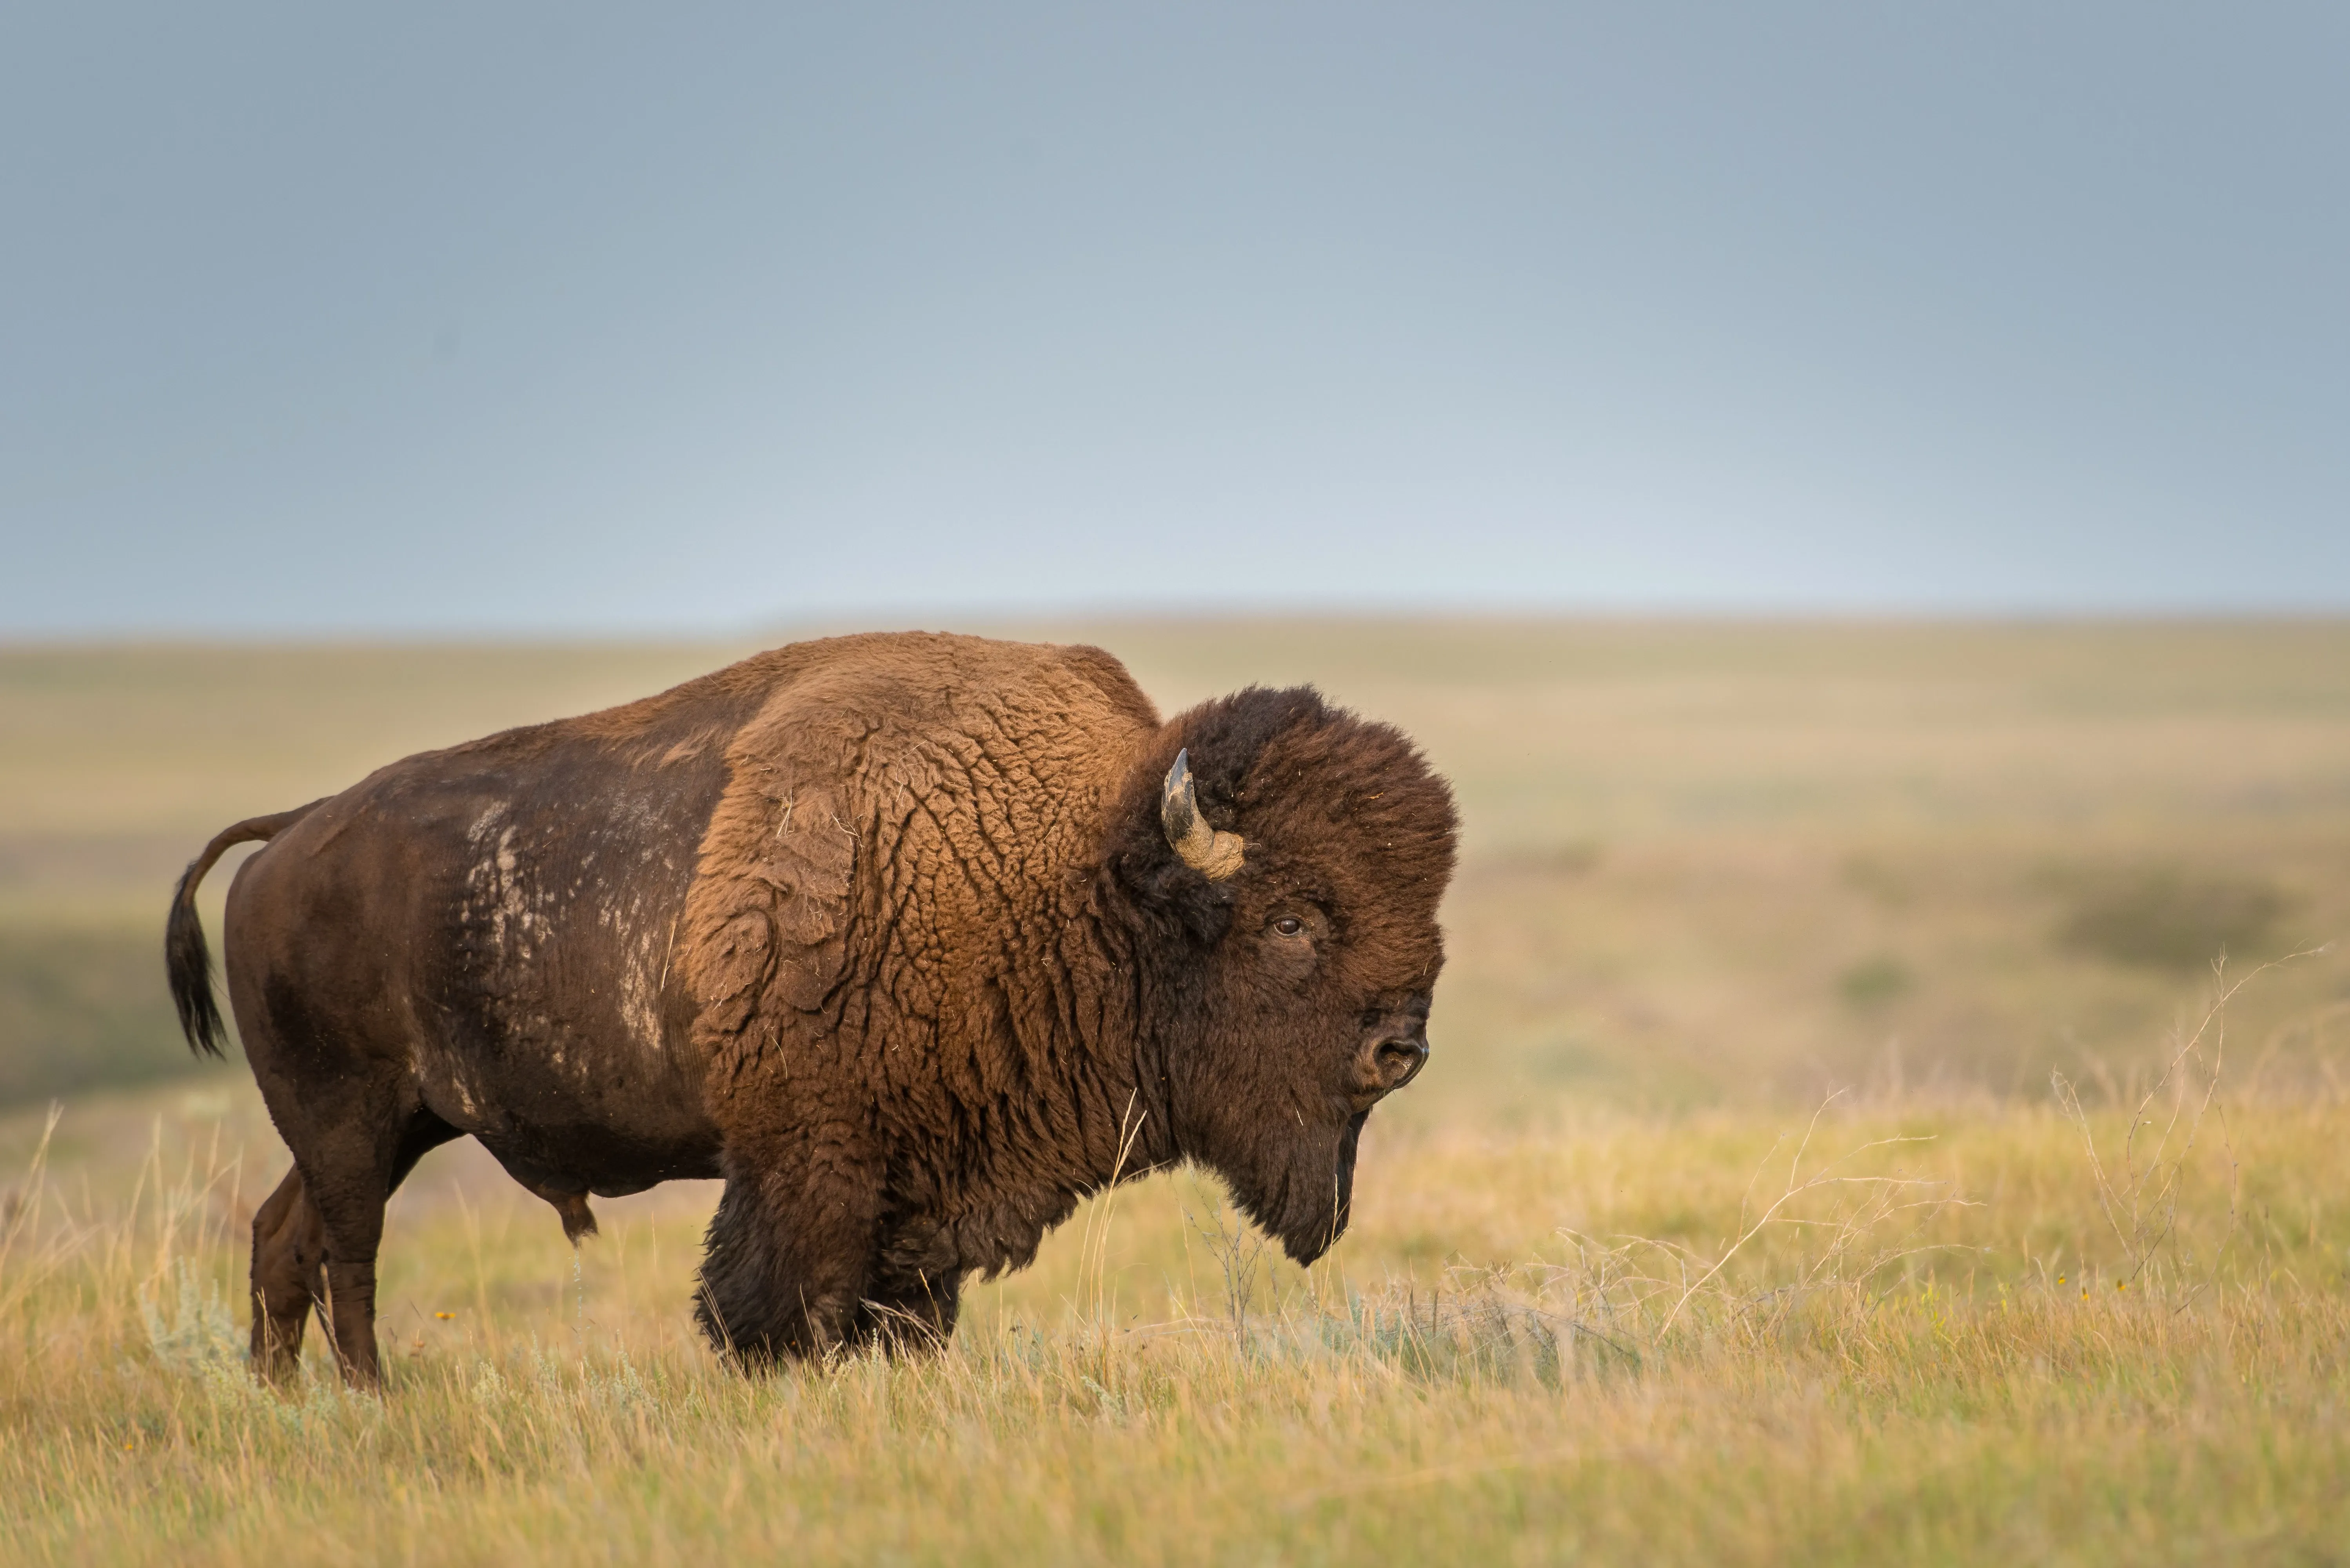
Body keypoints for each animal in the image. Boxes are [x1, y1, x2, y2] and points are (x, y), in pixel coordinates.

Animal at [166, 632, 1457, 1383]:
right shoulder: (811, 1160)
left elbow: (910, 1309)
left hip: (393, 1125)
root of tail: (290, 834)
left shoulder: (928, 1181)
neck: (1066, 867)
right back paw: (367, 1394)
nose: (1401, 1048)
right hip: (349, 1119)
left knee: (283, 1237)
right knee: (346, 1252)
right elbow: (785, 1303)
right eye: (1290, 921)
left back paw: (286, 1400)